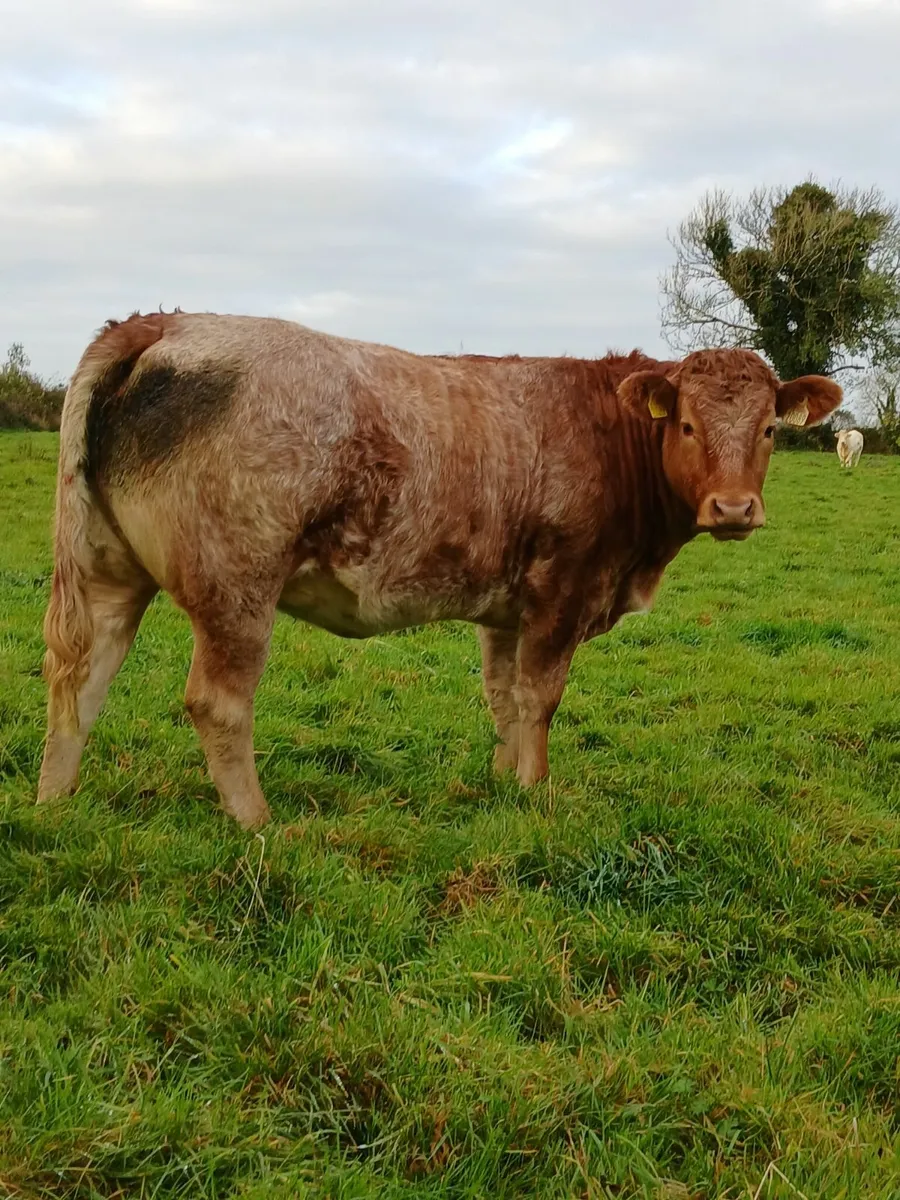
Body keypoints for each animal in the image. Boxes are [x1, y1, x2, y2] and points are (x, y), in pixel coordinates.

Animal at [37, 313, 842, 828]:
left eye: (768, 429)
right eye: (687, 425)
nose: (733, 508)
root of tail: (159, 323)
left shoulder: (509, 608)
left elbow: (504, 698)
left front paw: (504, 783)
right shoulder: (564, 588)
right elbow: (541, 697)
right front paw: (538, 794)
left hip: (105, 568)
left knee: (80, 675)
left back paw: (54, 802)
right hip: (237, 584)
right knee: (216, 702)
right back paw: (256, 821)